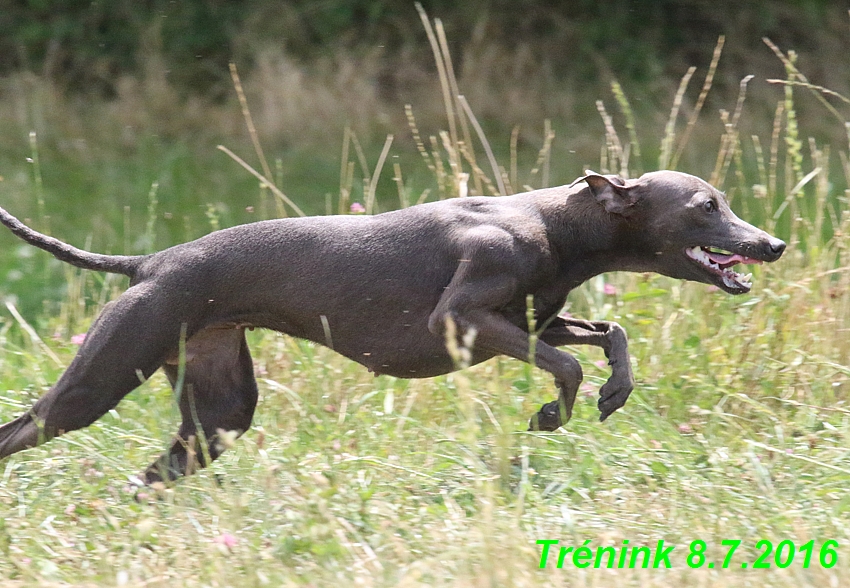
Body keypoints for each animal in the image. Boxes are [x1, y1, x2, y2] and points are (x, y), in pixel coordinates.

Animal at [0, 170, 780, 482]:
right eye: (706, 205)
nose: (771, 244)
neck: (559, 221)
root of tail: (151, 262)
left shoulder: (533, 319)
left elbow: (606, 333)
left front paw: (615, 391)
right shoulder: (461, 318)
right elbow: (569, 364)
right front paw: (552, 414)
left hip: (218, 411)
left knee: (153, 472)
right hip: (98, 381)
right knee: (22, 428)